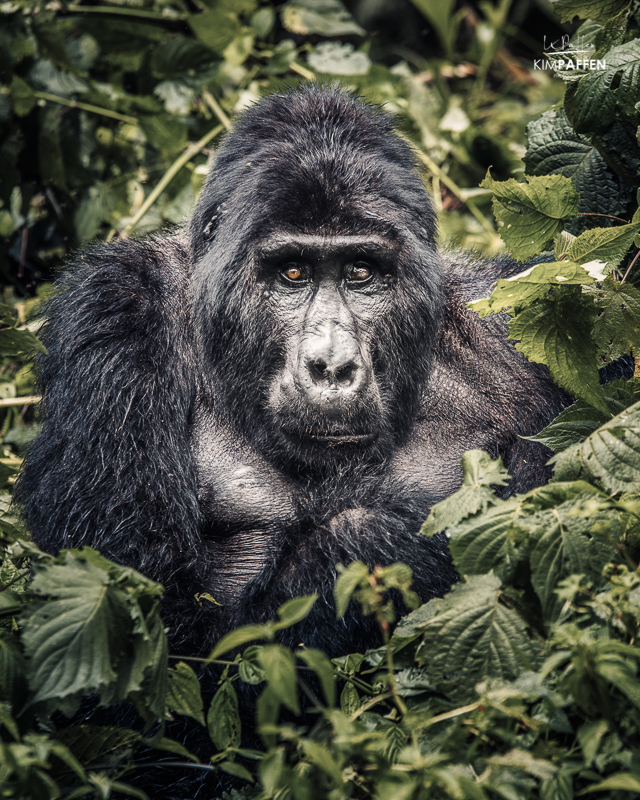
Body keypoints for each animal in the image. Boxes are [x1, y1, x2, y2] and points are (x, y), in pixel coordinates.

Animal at [15, 89, 564, 664]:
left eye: (361, 272)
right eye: (293, 273)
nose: (333, 367)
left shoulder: (519, 314)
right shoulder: (118, 310)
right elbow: (151, 604)